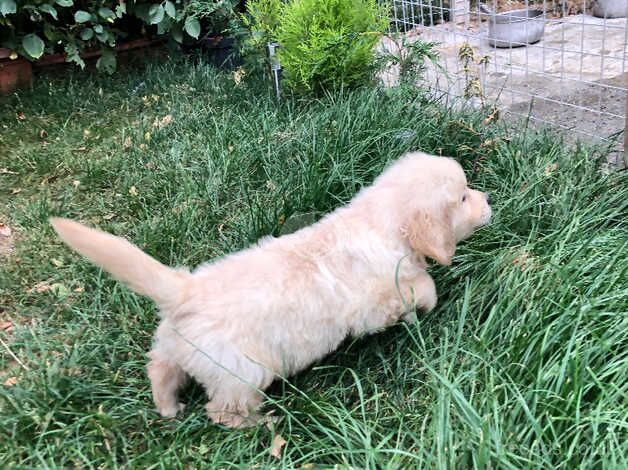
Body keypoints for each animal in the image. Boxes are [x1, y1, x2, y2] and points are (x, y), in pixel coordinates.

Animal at [50, 152, 490, 428]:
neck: (380, 221)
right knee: (222, 409)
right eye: (463, 196)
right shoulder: (378, 301)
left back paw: (168, 407)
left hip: (177, 346)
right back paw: (261, 423)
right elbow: (422, 287)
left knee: (160, 366)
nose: (487, 200)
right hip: (242, 371)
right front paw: (426, 303)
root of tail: (184, 290)